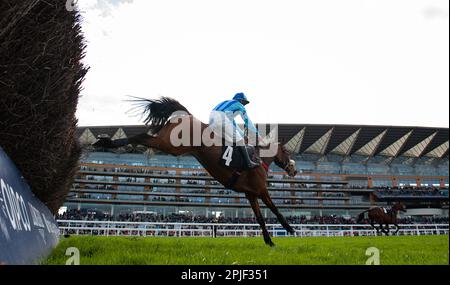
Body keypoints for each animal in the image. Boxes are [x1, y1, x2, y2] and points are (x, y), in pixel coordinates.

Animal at [94, 96, 298, 245]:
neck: (259, 160)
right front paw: (290, 229)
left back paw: (105, 142)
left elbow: (260, 218)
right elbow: (275, 209)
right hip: (171, 145)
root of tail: (186, 115)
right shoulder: (261, 190)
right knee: (142, 136)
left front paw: (269, 241)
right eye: (287, 151)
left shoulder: (251, 194)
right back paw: (109, 142)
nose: (294, 170)